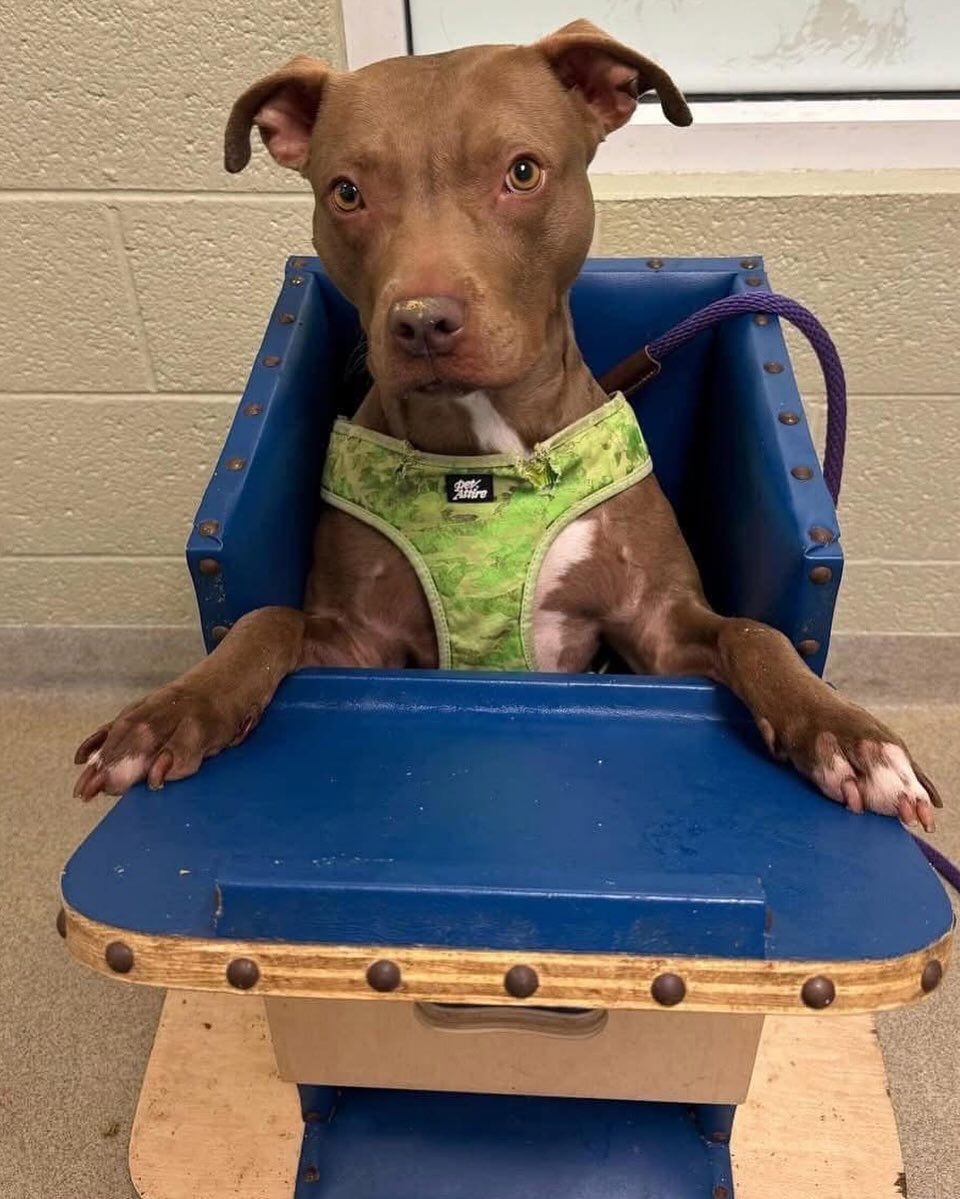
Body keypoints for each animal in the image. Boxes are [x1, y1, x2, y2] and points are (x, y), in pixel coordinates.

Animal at [74, 19, 941, 831]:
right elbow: (266, 619)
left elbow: (754, 634)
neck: (484, 452)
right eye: (345, 192)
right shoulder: (358, 641)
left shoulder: (658, 627)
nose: (422, 321)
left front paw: (848, 736)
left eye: (521, 172)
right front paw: (173, 711)